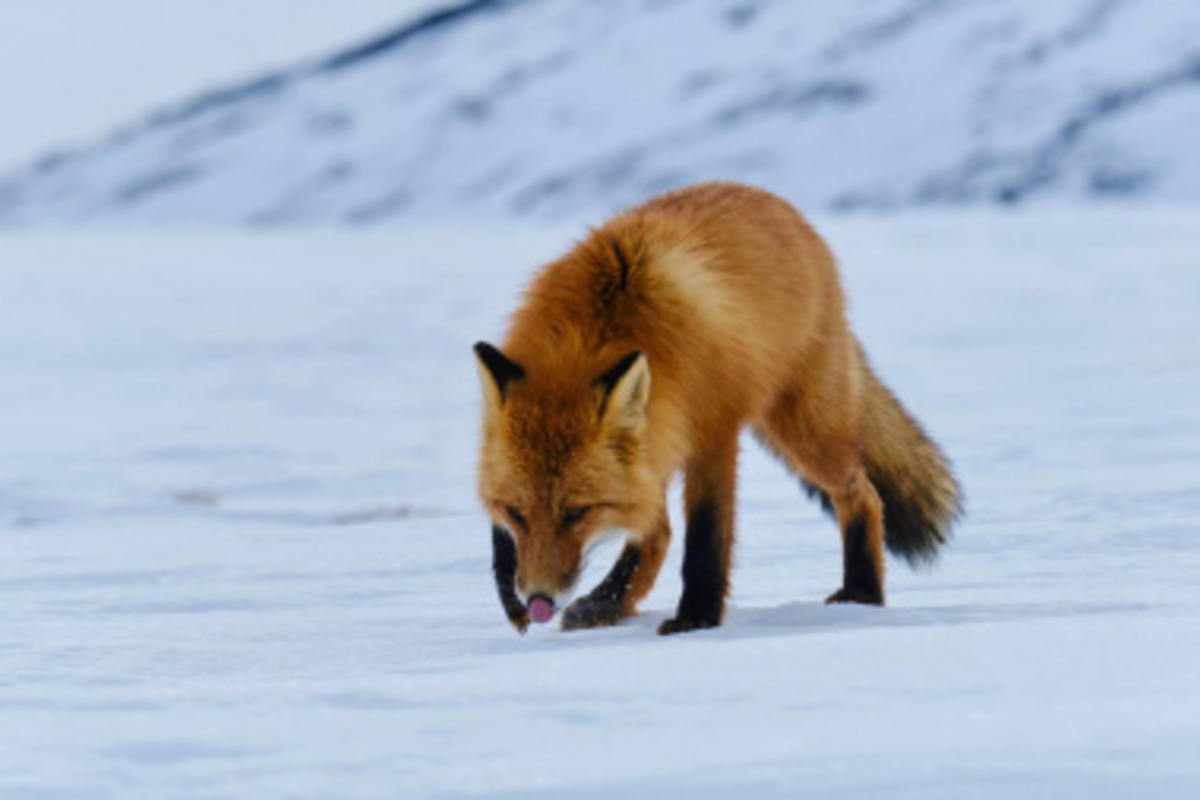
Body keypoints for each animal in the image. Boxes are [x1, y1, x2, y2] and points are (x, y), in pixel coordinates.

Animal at [472, 183, 960, 638]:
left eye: (577, 513)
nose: (539, 599)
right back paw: (607, 603)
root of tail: (784, 208)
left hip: (803, 429)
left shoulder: (712, 429)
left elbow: (706, 538)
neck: (591, 336)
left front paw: (696, 619)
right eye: (517, 513)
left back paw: (862, 593)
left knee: (862, 494)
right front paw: (514, 593)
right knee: (658, 533)